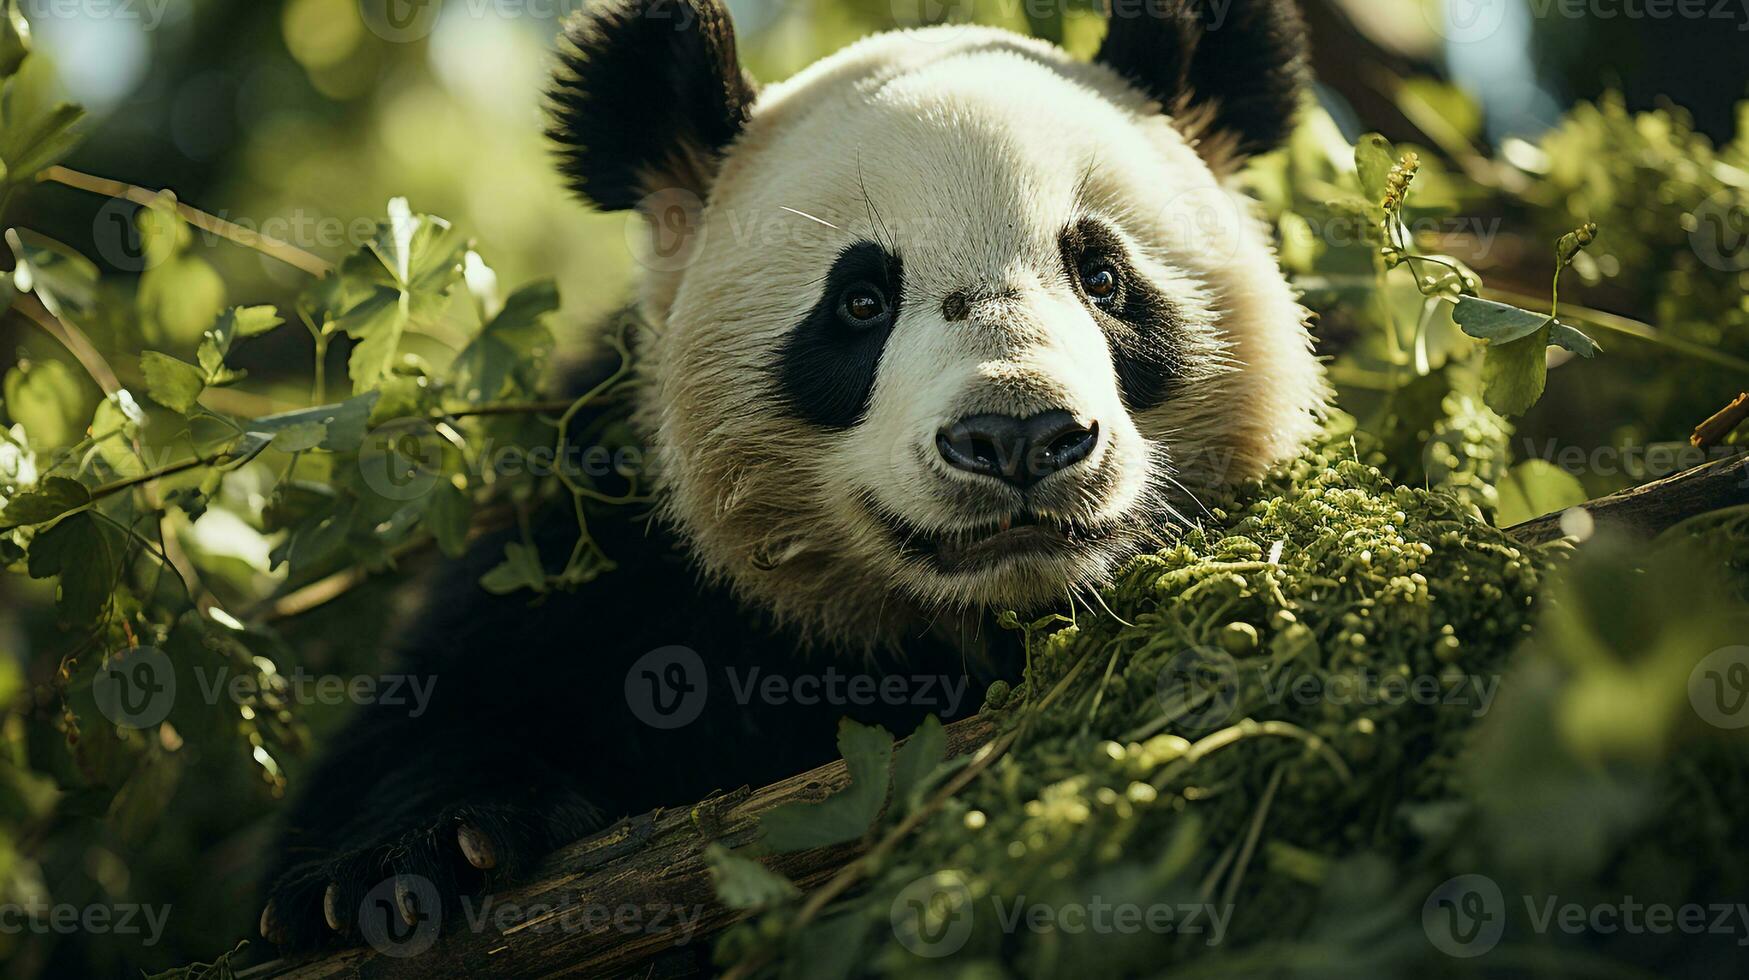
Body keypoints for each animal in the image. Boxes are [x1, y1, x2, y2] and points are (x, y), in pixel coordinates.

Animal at [258, 0, 1322, 952]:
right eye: (859, 301)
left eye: (1102, 278)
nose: (1018, 436)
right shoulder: (604, 549)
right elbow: (449, 703)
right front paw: (406, 865)